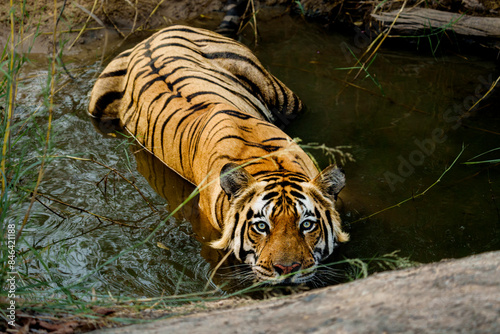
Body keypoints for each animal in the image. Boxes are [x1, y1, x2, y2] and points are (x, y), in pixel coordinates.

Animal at [89, 24, 348, 284]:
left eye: (307, 225)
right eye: (261, 227)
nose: (287, 269)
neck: (270, 163)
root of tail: (149, 38)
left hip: (280, 94)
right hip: (97, 100)